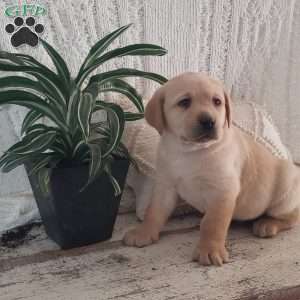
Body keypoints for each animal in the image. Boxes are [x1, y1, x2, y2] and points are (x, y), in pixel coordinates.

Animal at [123, 72, 300, 264]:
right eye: (184, 102)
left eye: (217, 102)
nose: (209, 121)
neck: (189, 151)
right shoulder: (165, 185)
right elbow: (154, 211)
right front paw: (144, 232)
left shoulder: (222, 191)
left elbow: (213, 223)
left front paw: (209, 249)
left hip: (286, 186)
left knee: (292, 216)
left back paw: (268, 224)